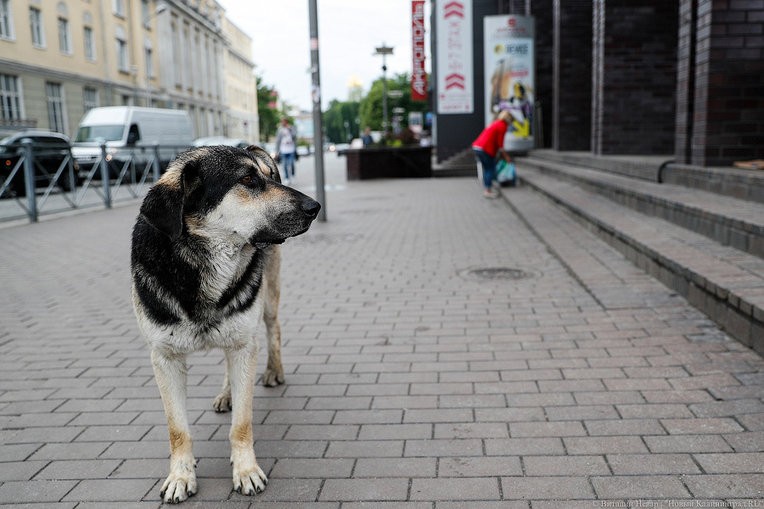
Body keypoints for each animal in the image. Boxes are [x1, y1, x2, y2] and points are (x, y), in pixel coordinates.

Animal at [131, 145, 320, 502]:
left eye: (270, 176)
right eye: (247, 180)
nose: (315, 207)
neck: (204, 269)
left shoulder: (244, 344)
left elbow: (241, 424)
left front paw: (245, 471)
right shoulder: (164, 359)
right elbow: (177, 429)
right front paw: (180, 476)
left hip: (266, 303)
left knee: (273, 330)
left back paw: (273, 371)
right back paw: (226, 393)